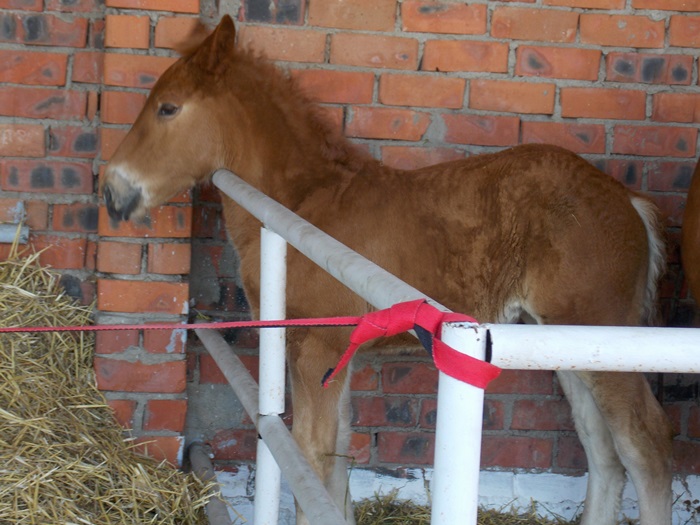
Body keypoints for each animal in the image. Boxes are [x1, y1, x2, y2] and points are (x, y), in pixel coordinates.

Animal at [102, 15, 673, 525]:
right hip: (570, 342)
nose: (112, 191)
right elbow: (335, 459)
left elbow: (309, 456)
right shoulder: (330, 352)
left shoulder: (317, 348)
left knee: (646, 447)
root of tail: (627, 199)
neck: (304, 203)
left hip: (604, 335)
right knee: (604, 452)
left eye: (168, 108)